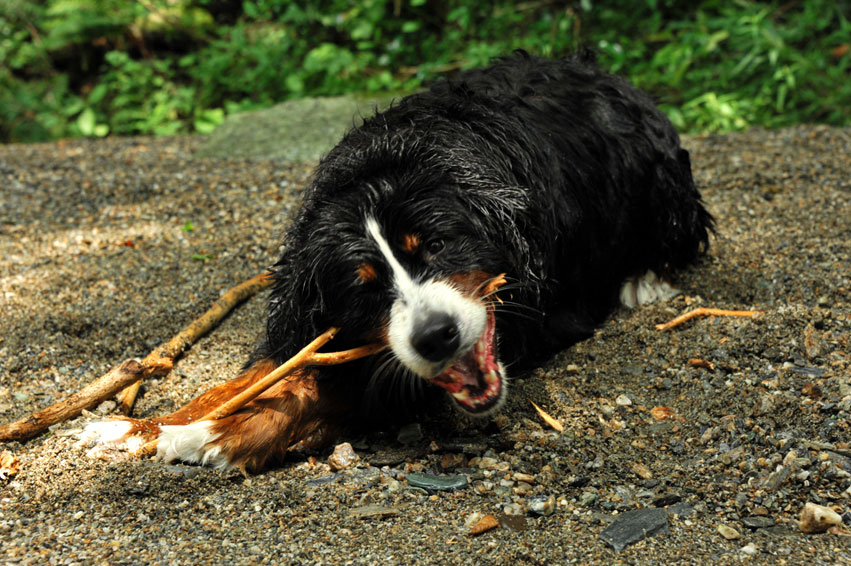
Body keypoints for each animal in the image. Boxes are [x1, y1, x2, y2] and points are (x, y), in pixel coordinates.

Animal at [80, 52, 712, 474]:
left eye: (435, 247)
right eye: (364, 287)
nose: (436, 336)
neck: (389, 165)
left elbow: (322, 390)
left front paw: (213, 437)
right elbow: (255, 374)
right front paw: (142, 426)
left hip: (663, 182)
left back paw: (643, 280)